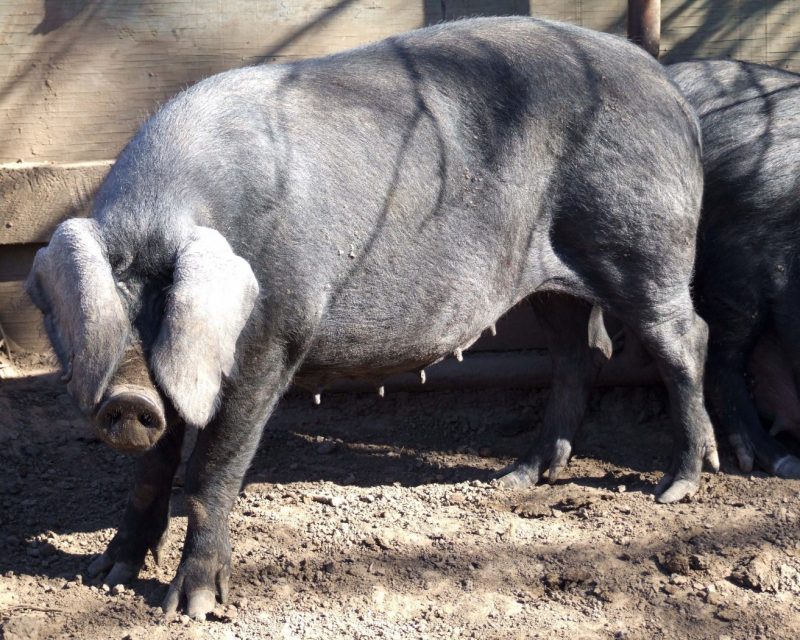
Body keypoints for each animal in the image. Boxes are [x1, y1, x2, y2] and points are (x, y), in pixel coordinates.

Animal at [26, 17, 718, 619]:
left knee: (684, 337)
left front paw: (189, 608)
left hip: (641, 241)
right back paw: (518, 480)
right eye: (115, 309)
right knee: (581, 352)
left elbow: (210, 471)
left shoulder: (274, 337)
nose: (129, 400)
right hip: (550, 280)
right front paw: (106, 575)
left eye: (169, 306)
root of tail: (666, 86)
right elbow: (151, 471)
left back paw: (677, 487)